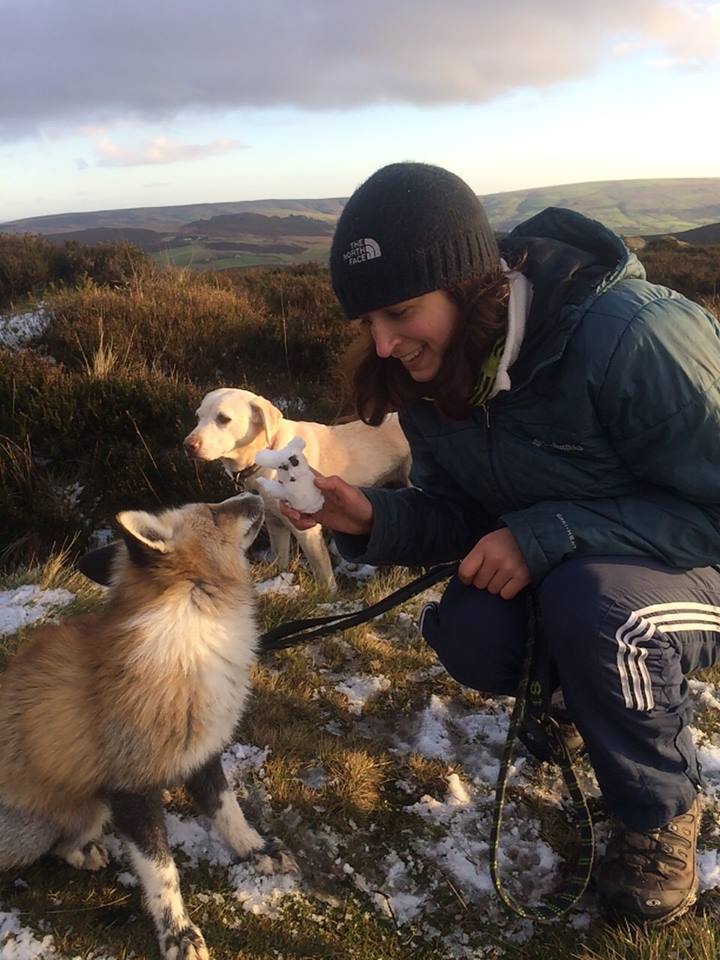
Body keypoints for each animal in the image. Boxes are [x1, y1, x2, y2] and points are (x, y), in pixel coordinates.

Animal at [0, 496, 296, 960]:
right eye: (213, 512)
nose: (256, 496)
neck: (191, 647)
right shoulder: (130, 789)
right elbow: (163, 873)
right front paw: (178, 934)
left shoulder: (204, 751)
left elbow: (229, 813)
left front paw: (256, 849)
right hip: (56, 821)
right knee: (56, 843)